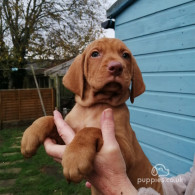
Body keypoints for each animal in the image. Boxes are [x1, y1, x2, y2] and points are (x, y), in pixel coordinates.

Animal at [21, 38, 163, 195]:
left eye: (125, 55)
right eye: (95, 54)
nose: (116, 67)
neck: (95, 105)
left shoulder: (126, 151)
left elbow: (90, 130)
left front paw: (75, 157)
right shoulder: (64, 138)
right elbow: (48, 119)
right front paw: (30, 135)